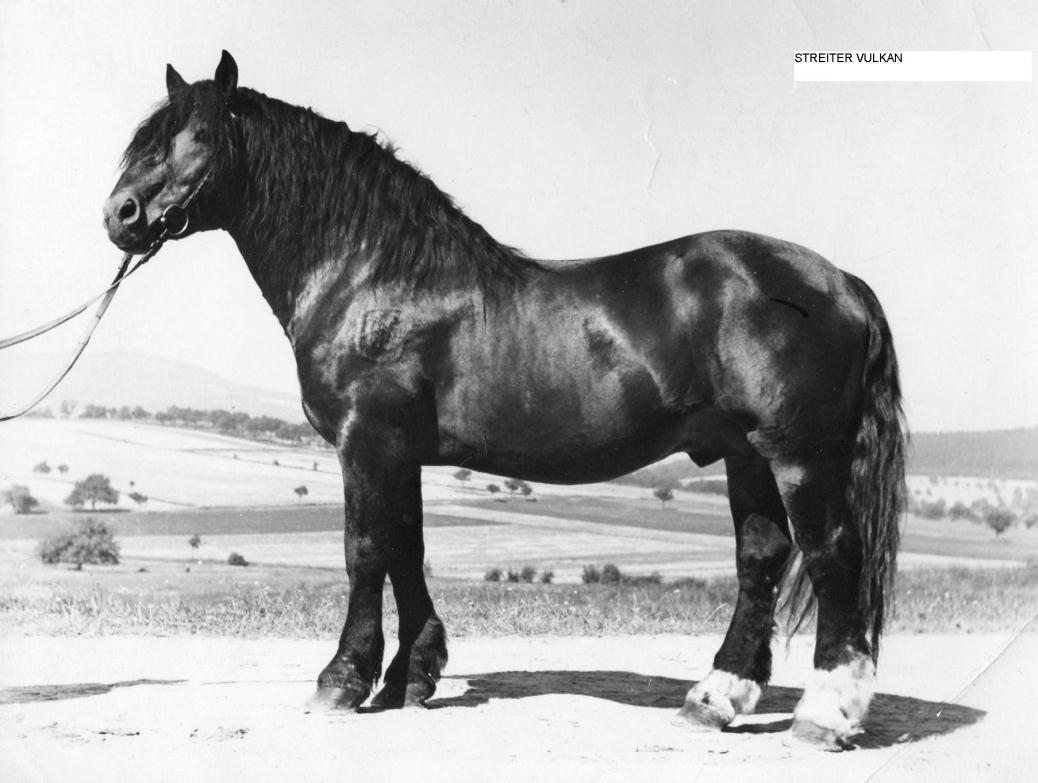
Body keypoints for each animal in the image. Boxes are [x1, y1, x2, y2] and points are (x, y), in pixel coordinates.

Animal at [101, 51, 905, 747]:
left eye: (199, 137)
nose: (120, 215)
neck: (375, 274)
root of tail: (841, 282)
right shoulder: (401, 453)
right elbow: (407, 548)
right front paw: (410, 677)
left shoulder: (367, 441)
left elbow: (365, 550)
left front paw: (343, 681)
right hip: (747, 456)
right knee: (761, 558)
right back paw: (715, 697)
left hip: (800, 456)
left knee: (832, 556)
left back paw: (824, 715)